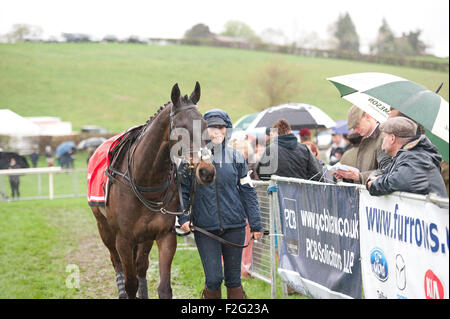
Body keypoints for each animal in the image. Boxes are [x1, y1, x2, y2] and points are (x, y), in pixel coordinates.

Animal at [90, 82, 215, 300]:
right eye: (181, 128)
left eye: (205, 126)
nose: (206, 171)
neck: (145, 181)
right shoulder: (123, 240)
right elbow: (130, 284)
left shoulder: (164, 236)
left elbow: (164, 287)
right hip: (104, 229)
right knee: (117, 263)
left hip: (145, 237)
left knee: (141, 265)